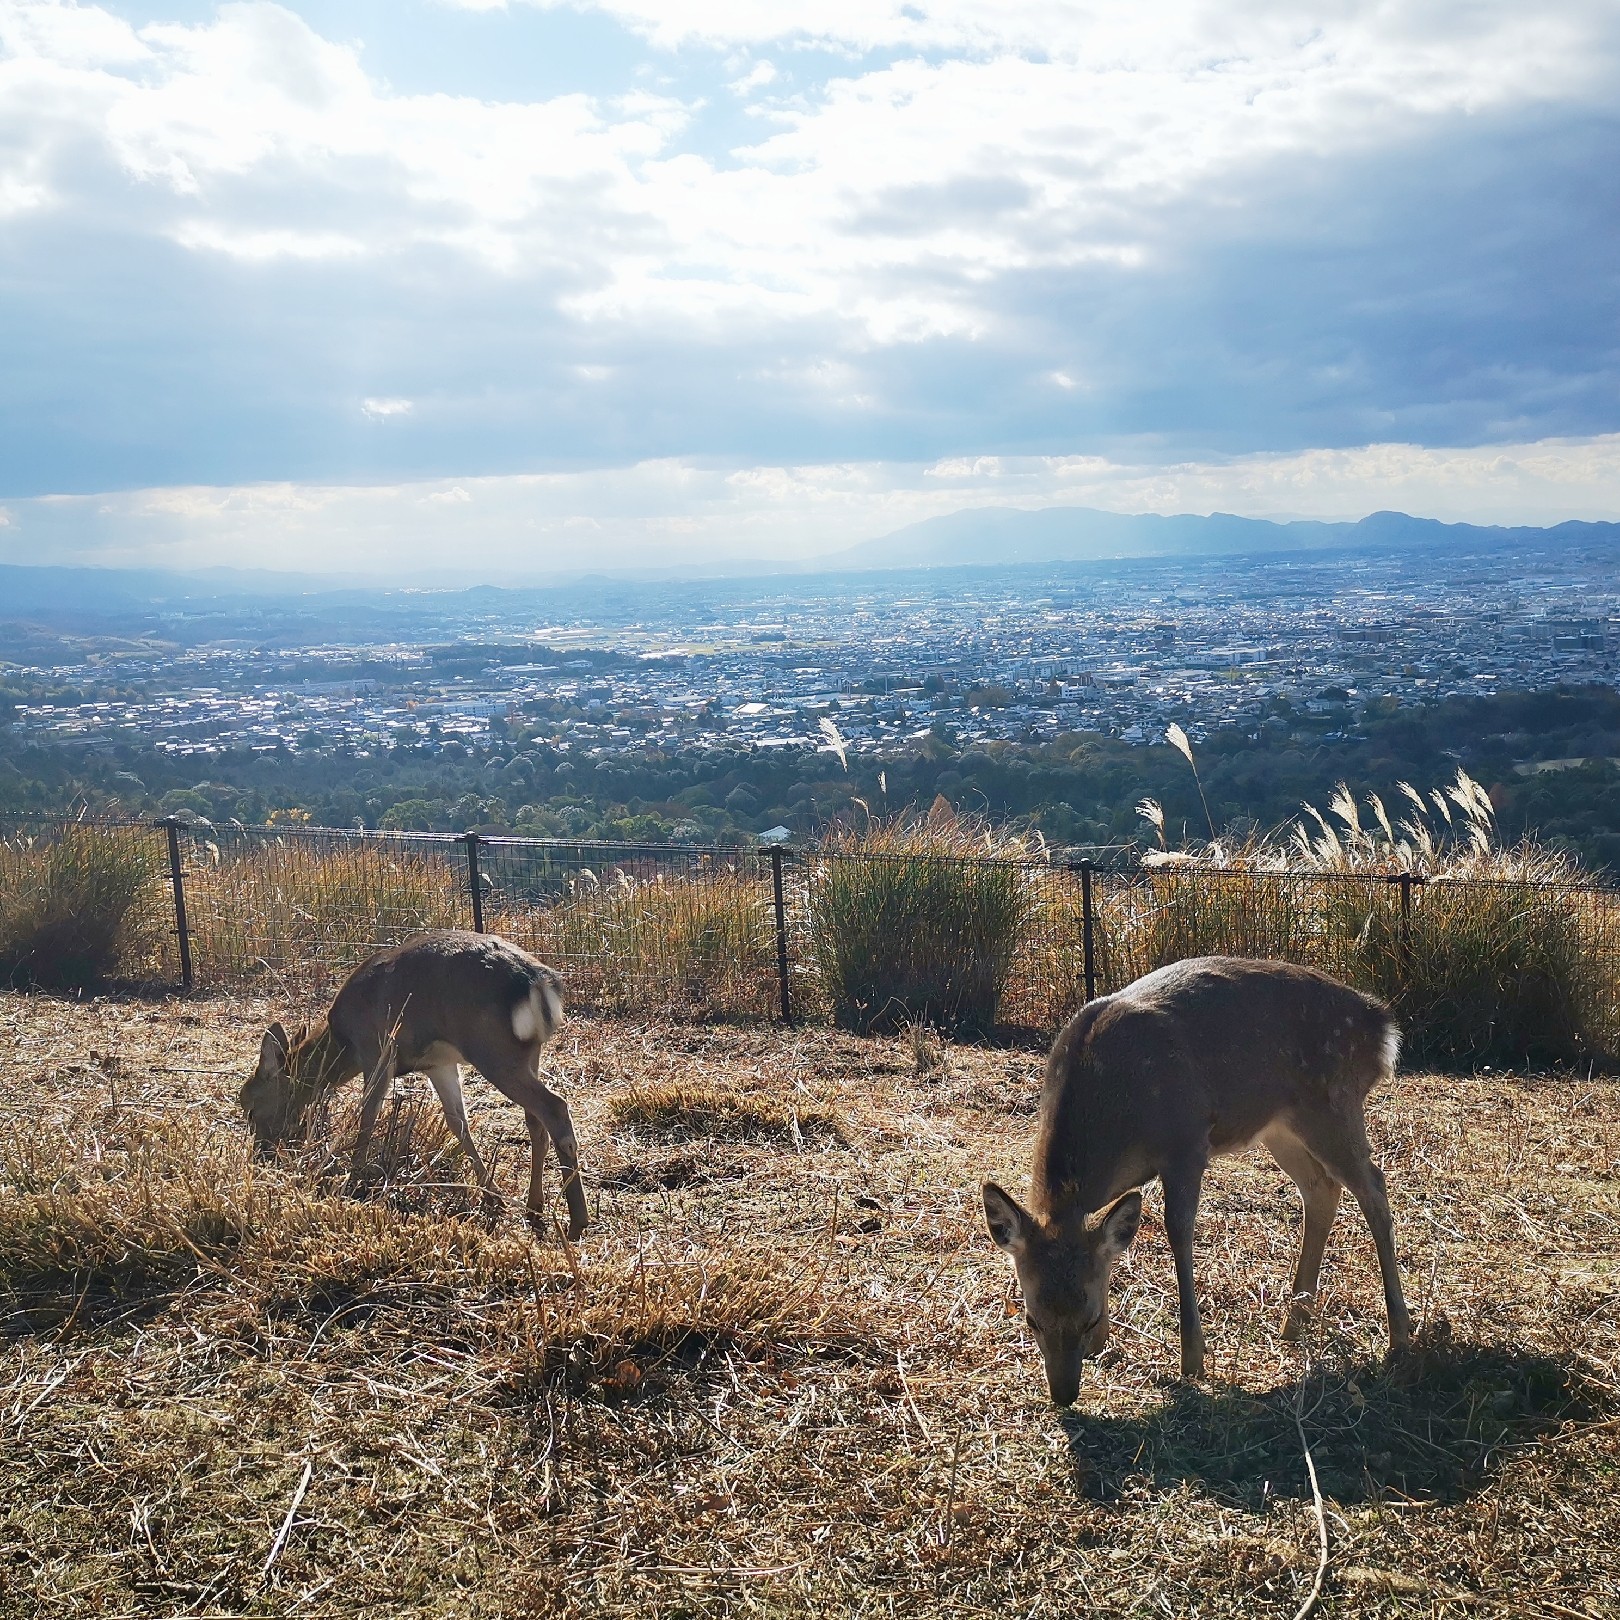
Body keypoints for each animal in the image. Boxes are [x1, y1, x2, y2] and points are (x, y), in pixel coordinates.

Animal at [239, 926, 589, 1237]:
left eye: (250, 1108)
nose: (261, 1153)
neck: (344, 1043)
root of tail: (538, 982)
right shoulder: (438, 1063)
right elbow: (457, 1123)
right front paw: (492, 1197)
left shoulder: (378, 1049)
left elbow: (368, 1115)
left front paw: (353, 1181)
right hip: (528, 1052)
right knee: (535, 1120)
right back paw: (534, 1207)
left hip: (491, 1049)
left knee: (555, 1107)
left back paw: (577, 1221)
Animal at [978, 952, 1412, 1399]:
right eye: (1031, 1319)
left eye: (1089, 1318)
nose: (1063, 1394)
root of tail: (1382, 1025)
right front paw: (1107, 1348)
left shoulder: (1185, 1141)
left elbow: (1178, 1230)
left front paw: (1193, 1360)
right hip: (1280, 1126)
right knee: (1321, 1188)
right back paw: (1294, 1323)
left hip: (1333, 1102)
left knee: (1373, 1186)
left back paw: (1399, 1335)